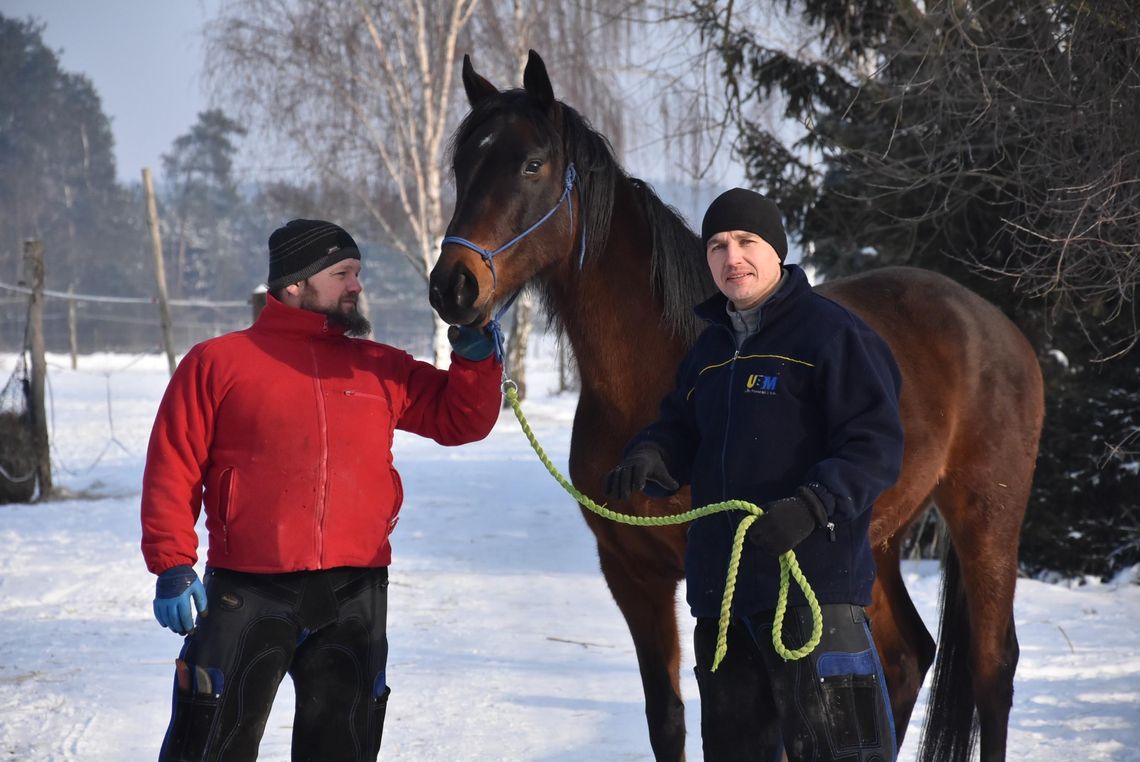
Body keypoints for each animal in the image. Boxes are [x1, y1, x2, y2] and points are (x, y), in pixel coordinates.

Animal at [430, 50, 1044, 757]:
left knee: (992, 670)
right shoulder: (632, 575)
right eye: (462, 167)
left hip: (987, 519)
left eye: (532, 165)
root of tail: (995, 324)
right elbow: (667, 717)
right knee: (904, 657)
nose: (452, 286)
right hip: (871, 542)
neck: (655, 371)